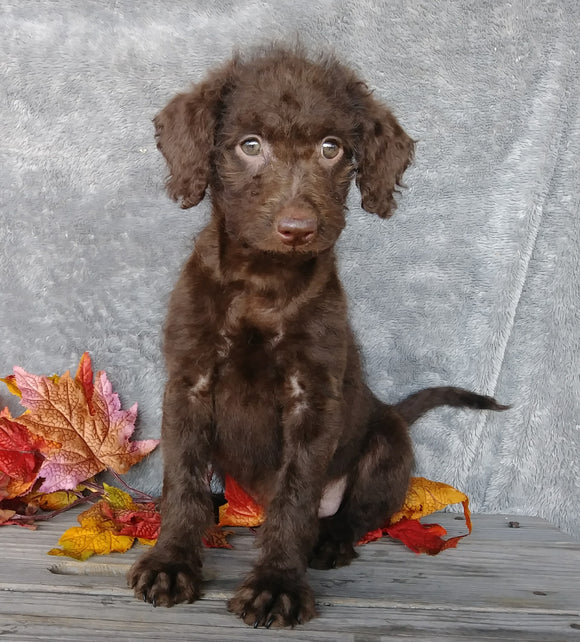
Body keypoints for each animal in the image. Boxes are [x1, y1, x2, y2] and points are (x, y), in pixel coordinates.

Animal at [128, 47, 508, 628]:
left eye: (332, 149)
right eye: (250, 144)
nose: (297, 228)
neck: (263, 282)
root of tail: (394, 411)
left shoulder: (313, 397)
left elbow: (296, 495)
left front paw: (277, 584)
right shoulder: (188, 383)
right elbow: (184, 481)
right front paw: (171, 563)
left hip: (388, 449)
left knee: (357, 514)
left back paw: (328, 541)